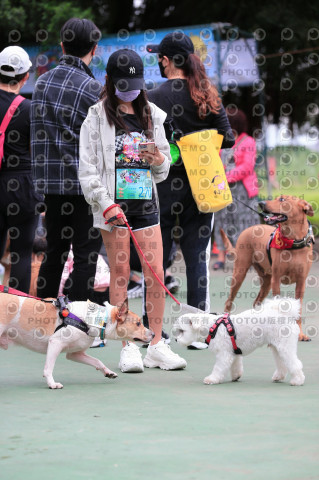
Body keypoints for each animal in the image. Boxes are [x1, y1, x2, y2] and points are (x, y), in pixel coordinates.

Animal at [174, 296, 306, 386]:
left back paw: (297, 380)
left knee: (295, 364)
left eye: (182, 331)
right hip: (277, 348)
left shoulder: (224, 354)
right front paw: (236, 376)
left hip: (285, 347)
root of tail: (285, 315)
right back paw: (279, 377)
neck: (212, 327)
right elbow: (236, 366)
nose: (175, 339)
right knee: (282, 364)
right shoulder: (234, 352)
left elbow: (218, 368)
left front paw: (212, 379)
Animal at [222, 196, 316, 342]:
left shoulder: (301, 283)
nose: (261, 203)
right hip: (240, 273)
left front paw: (300, 334)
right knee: (229, 301)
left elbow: (299, 311)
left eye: (282, 199)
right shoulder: (276, 281)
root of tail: (250, 228)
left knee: (256, 303)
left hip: (266, 281)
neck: (292, 241)